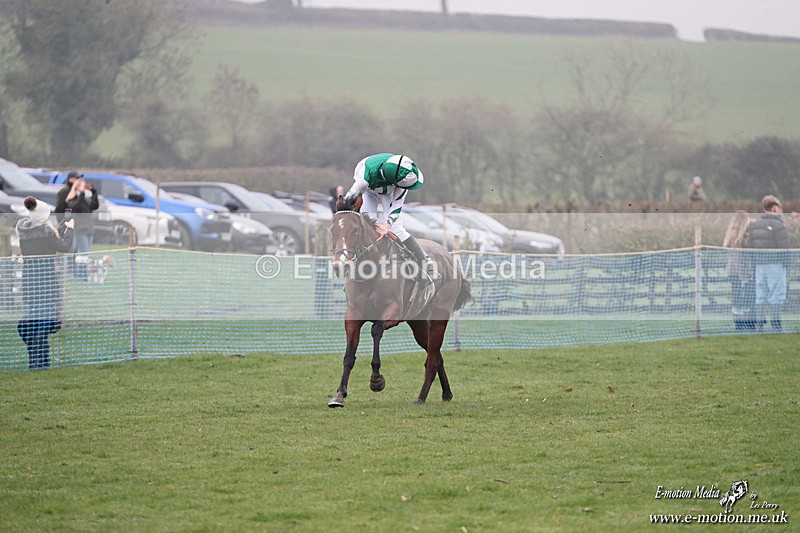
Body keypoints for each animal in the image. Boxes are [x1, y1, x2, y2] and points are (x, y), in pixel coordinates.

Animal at [327, 196, 471, 407]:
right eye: (333, 230)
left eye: (354, 230)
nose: (339, 265)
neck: (372, 271)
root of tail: (449, 257)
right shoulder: (353, 314)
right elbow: (349, 356)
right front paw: (339, 395)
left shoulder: (394, 311)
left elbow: (376, 329)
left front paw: (376, 380)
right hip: (418, 323)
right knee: (436, 356)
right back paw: (446, 393)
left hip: (439, 317)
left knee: (431, 359)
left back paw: (421, 397)